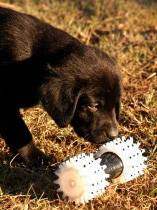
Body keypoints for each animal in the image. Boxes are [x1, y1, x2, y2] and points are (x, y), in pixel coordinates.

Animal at [0, 6, 122, 166]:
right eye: (93, 105)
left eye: (115, 104)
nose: (114, 135)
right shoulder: (4, 103)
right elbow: (20, 132)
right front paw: (36, 157)